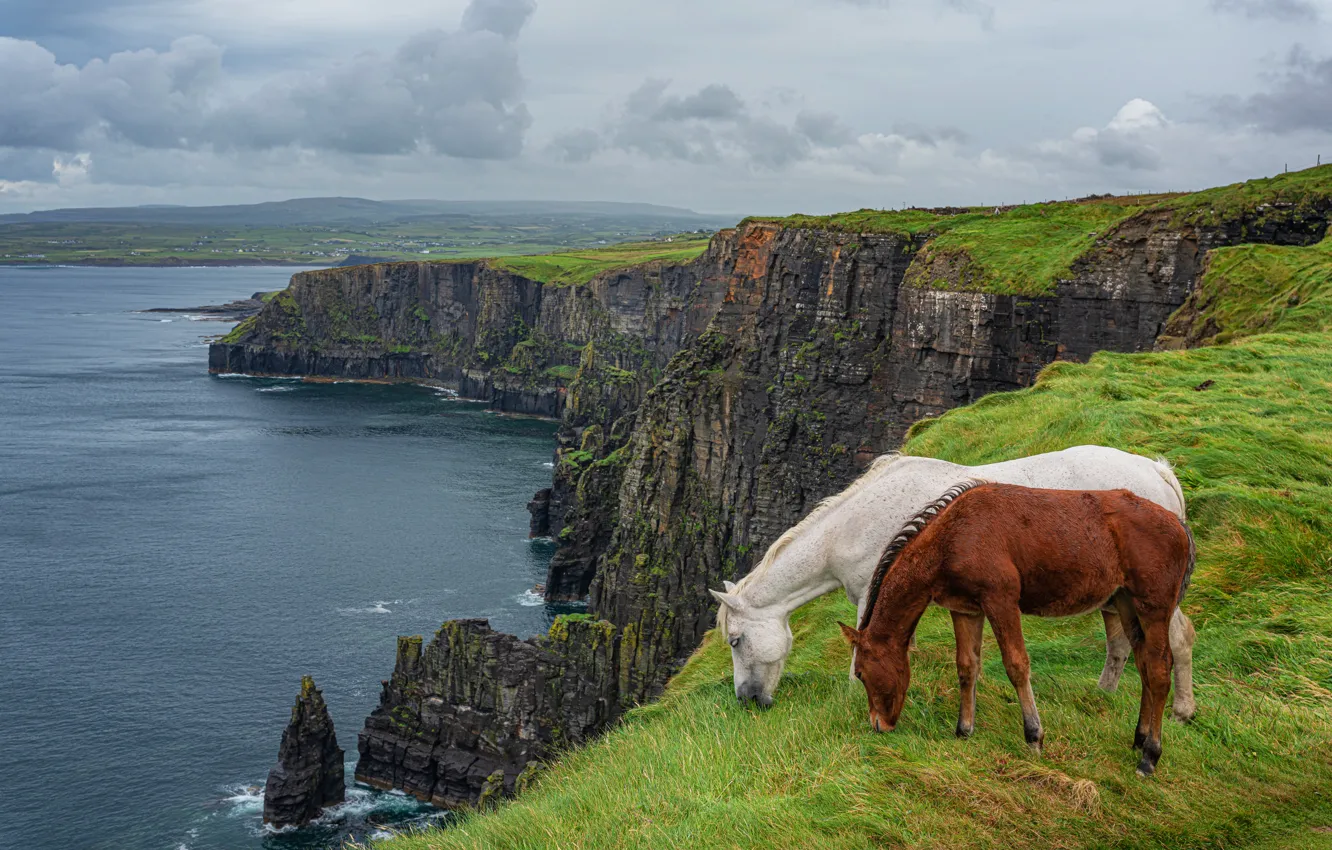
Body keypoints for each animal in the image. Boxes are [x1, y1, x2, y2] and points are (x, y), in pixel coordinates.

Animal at [710, 446, 1197, 719]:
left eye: (735, 640)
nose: (747, 700)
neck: (850, 527)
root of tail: (1157, 473)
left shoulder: (871, 592)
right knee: (1120, 644)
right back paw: (1105, 697)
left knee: (1180, 637)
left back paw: (1182, 711)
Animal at [839, 480, 1195, 777]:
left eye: (860, 673)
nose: (878, 725)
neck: (954, 536)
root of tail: (1178, 523)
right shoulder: (965, 610)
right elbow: (967, 666)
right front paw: (963, 729)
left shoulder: (1001, 600)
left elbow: (1016, 665)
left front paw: (1034, 736)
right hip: (1125, 602)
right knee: (1144, 663)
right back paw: (1139, 737)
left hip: (1153, 606)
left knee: (1159, 669)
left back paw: (1150, 755)